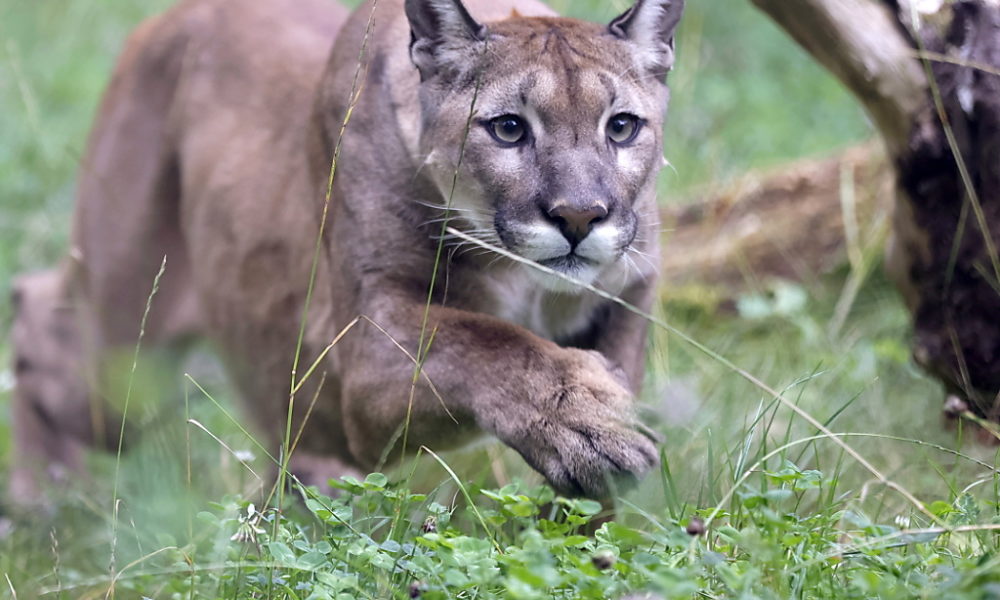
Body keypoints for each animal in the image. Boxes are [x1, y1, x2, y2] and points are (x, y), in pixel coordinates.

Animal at [8, 0, 683, 505]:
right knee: (36, 318)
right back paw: (42, 501)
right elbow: (485, 344)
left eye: (621, 127)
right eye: (509, 128)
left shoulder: (632, 290)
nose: (580, 216)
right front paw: (588, 426)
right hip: (123, 359)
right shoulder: (366, 342)